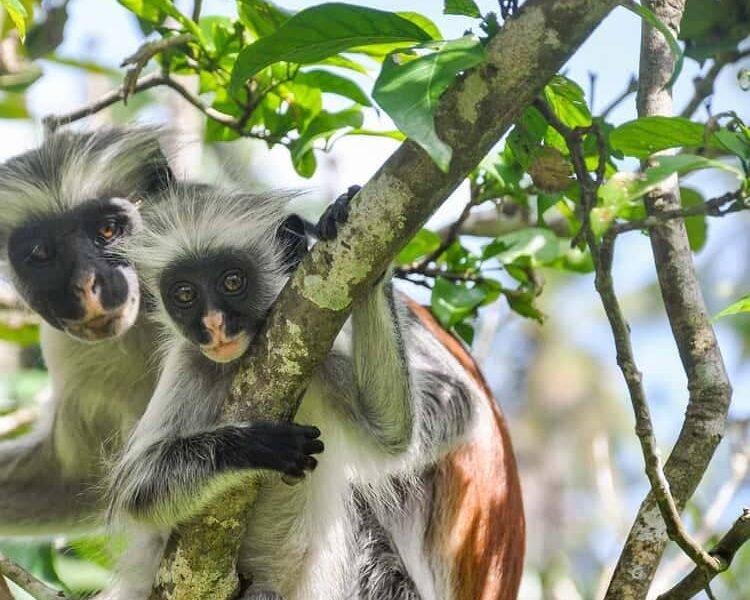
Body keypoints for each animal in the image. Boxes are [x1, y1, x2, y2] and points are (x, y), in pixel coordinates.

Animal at [108, 182, 525, 600]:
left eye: (232, 282)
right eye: (185, 295)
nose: (213, 325)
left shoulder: (322, 355)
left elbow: (398, 430)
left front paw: (357, 243)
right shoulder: (191, 361)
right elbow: (139, 490)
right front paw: (259, 446)